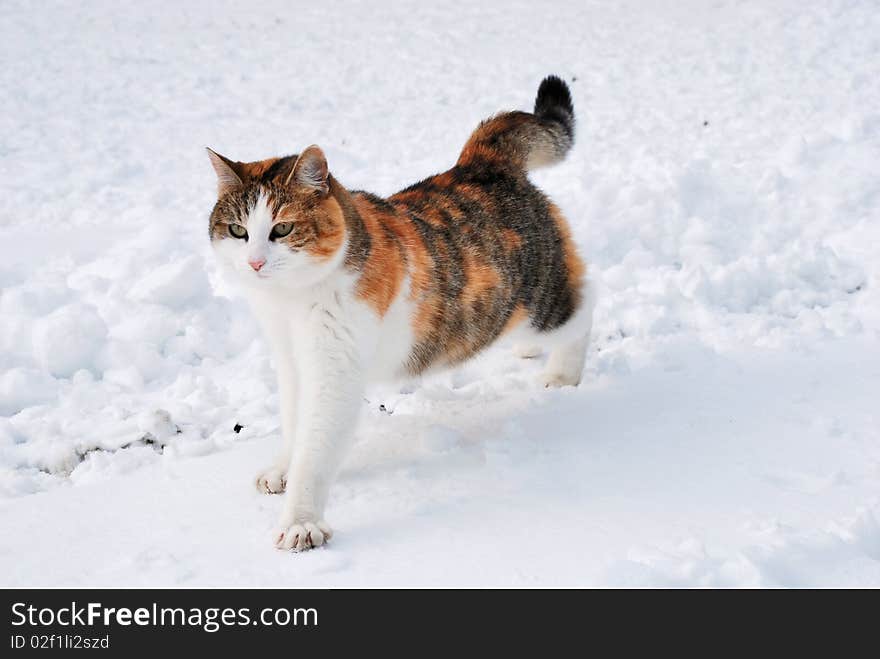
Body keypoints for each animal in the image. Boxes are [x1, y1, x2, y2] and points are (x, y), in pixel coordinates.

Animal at [205, 73, 600, 552]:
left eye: (282, 228)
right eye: (237, 230)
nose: (255, 263)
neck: (291, 300)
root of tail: (481, 162)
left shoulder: (334, 368)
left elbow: (315, 446)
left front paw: (301, 521)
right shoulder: (291, 358)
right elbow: (294, 422)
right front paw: (283, 467)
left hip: (545, 303)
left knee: (587, 302)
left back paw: (563, 373)